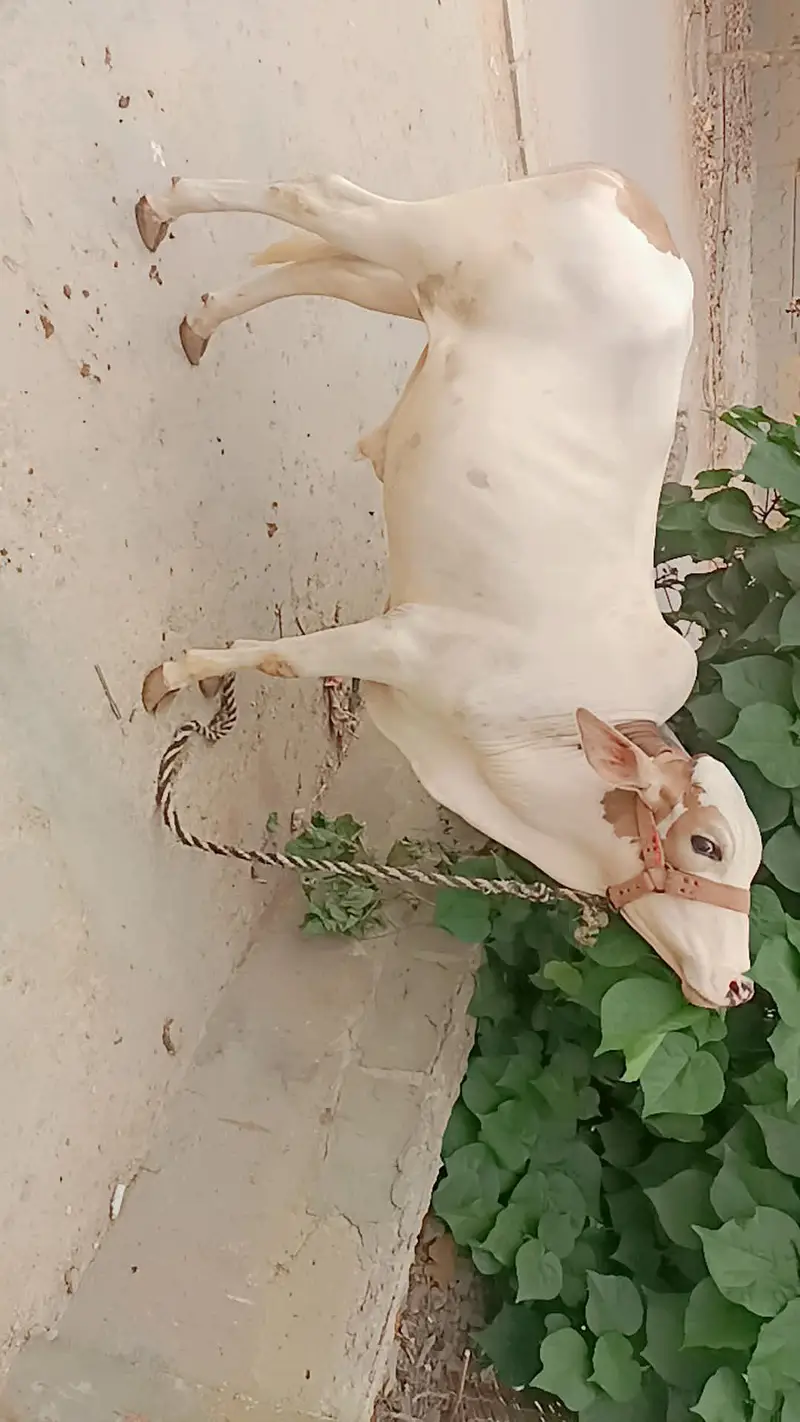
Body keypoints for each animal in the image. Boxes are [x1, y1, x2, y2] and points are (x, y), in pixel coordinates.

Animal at [135, 164, 762, 1010]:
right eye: (706, 844)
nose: (738, 986)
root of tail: (633, 202)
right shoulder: (402, 641)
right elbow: (283, 658)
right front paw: (174, 674)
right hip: (436, 243)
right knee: (315, 196)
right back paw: (161, 211)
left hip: (427, 284)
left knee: (333, 267)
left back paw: (199, 320)